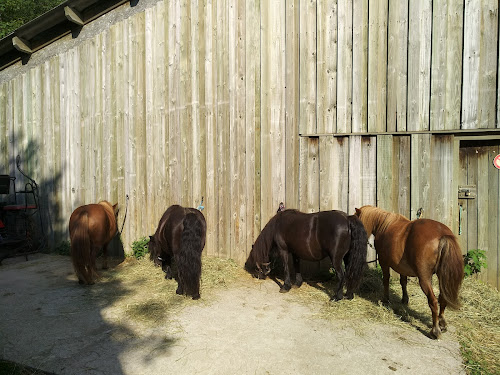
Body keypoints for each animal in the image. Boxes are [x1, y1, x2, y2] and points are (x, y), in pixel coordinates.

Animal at [356, 207, 464, 340]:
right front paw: (404, 299)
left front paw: (386, 300)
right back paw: (442, 324)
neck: (384, 225)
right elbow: (403, 282)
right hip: (442, 277)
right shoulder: (402, 268)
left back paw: (435, 330)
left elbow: (386, 280)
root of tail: (442, 234)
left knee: (433, 301)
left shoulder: (384, 262)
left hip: (424, 279)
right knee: (442, 298)